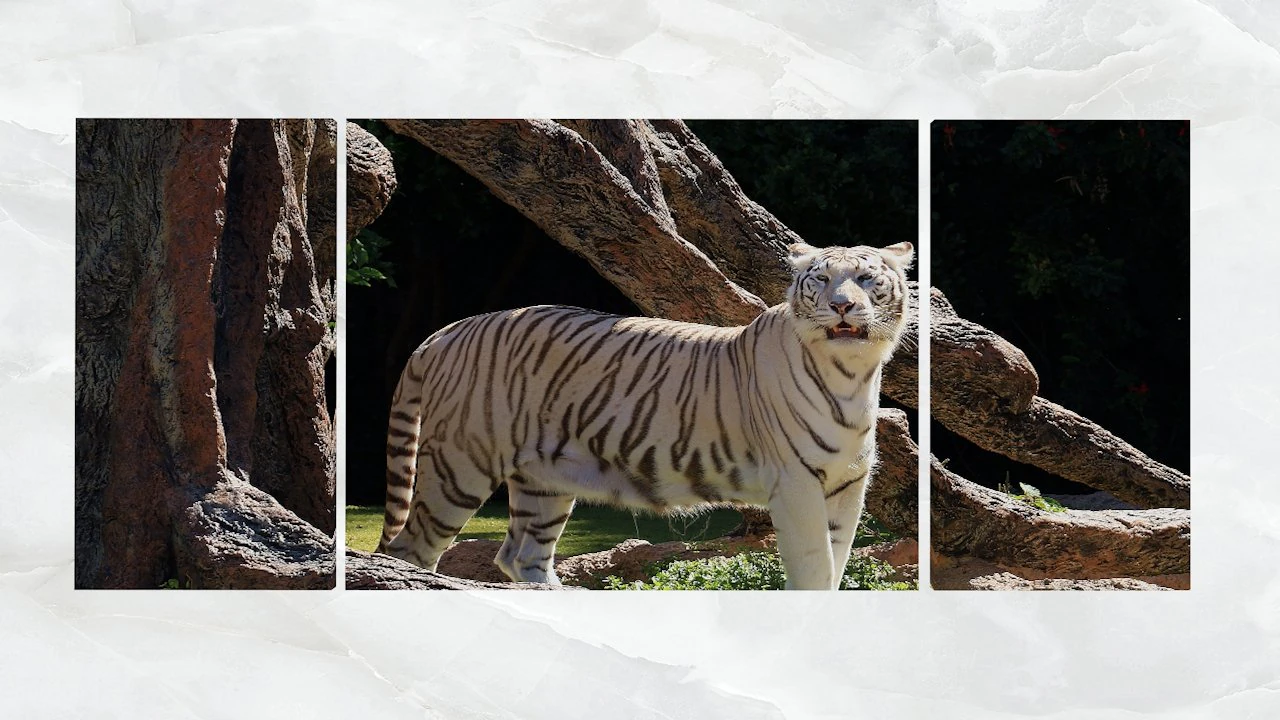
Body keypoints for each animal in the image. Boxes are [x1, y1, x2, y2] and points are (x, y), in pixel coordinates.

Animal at [378, 241, 914, 590]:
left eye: (866, 279)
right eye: (822, 279)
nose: (841, 306)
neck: (852, 374)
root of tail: (446, 331)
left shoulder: (847, 486)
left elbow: (837, 562)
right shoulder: (797, 484)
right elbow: (815, 568)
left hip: (544, 479)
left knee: (521, 555)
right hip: (459, 466)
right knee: (409, 553)